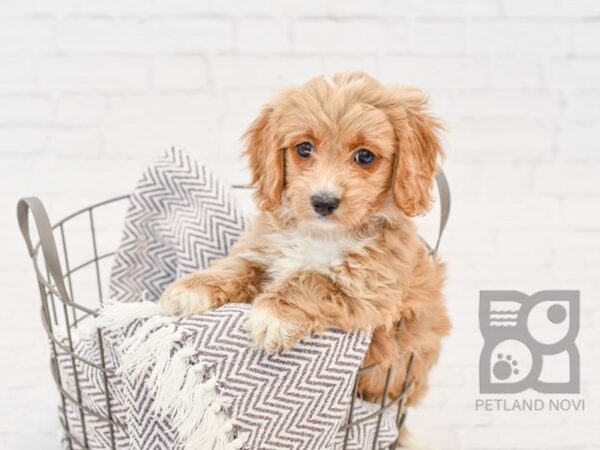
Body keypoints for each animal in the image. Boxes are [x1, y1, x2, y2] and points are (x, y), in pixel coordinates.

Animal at [159, 69, 450, 408]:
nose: (324, 202)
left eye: (365, 156)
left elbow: (311, 278)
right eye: (304, 148)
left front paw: (272, 315)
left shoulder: (370, 293)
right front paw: (192, 288)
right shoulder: (264, 250)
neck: (320, 233)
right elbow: (239, 266)